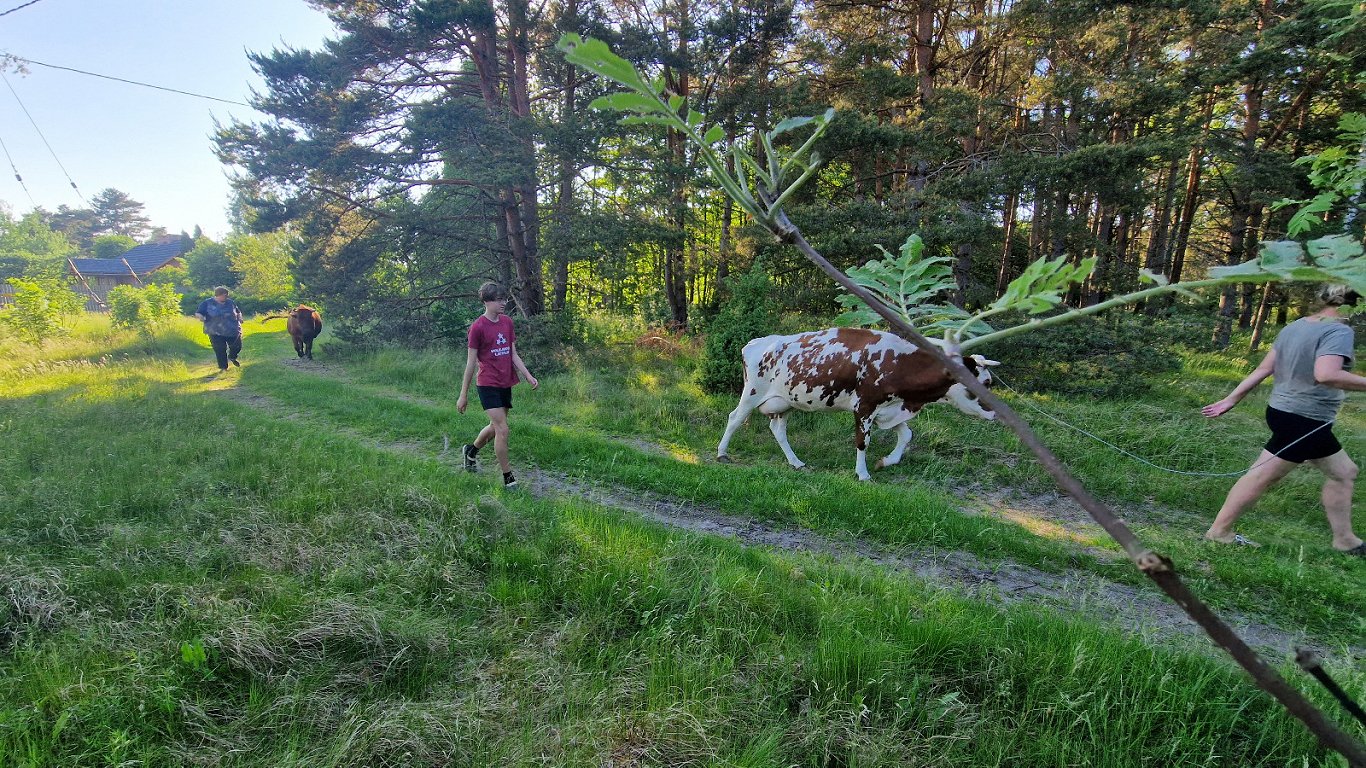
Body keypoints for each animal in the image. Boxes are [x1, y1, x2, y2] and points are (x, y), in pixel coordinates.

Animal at [721, 323, 999, 478]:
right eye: (984, 384)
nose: (996, 413)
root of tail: (758, 342)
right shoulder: (864, 406)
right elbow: (862, 442)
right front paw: (863, 474)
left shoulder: (889, 407)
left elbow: (906, 435)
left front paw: (886, 461)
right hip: (753, 393)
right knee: (735, 418)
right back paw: (722, 452)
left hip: (785, 401)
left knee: (777, 429)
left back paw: (796, 462)